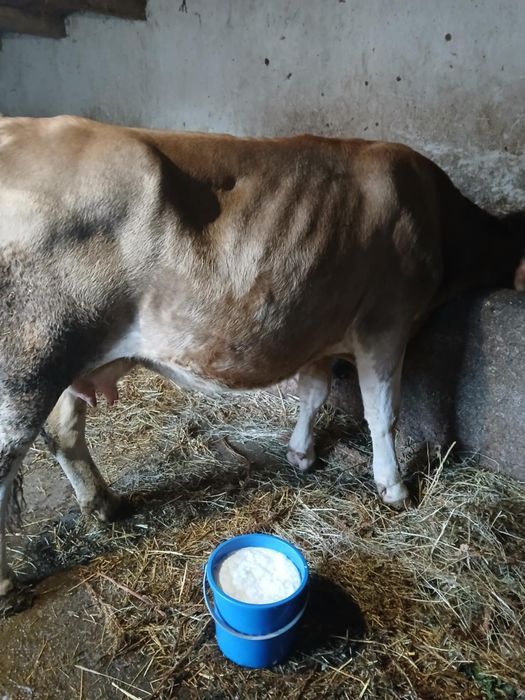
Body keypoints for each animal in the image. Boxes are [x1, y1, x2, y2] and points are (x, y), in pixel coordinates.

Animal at [0, 116, 522, 596]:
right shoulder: (386, 321)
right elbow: (382, 412)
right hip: (28, 368)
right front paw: (393, 486)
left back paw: (104, 505)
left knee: (64, 430)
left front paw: (300, 453)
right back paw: (9, 583)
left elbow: (314, 392)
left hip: (72, 357)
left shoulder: (316, 324)